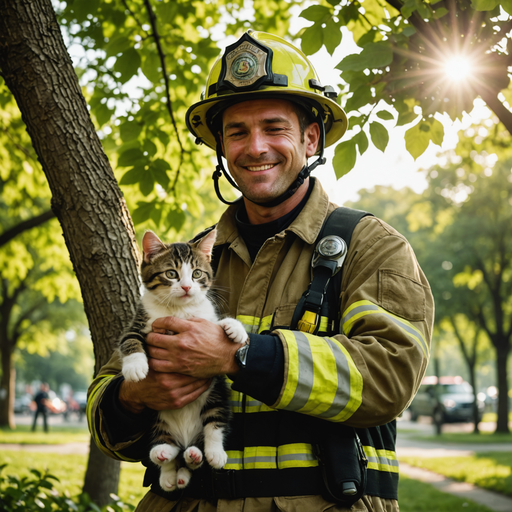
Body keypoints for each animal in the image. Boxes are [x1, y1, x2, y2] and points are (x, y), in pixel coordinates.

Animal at [120, 229, 248, 492]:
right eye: (171, 274)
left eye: (197, 273)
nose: (188, 287)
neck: (179, 311)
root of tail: (185, 439)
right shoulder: (138, 322)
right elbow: (129, 339)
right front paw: (135, 366)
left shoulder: (205, 318)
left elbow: (216, 323)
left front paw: (236, 329)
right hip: (156, 415)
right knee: (168, 447)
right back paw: (166, 461)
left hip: (215, 393)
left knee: (214, 423)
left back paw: (206, 454)